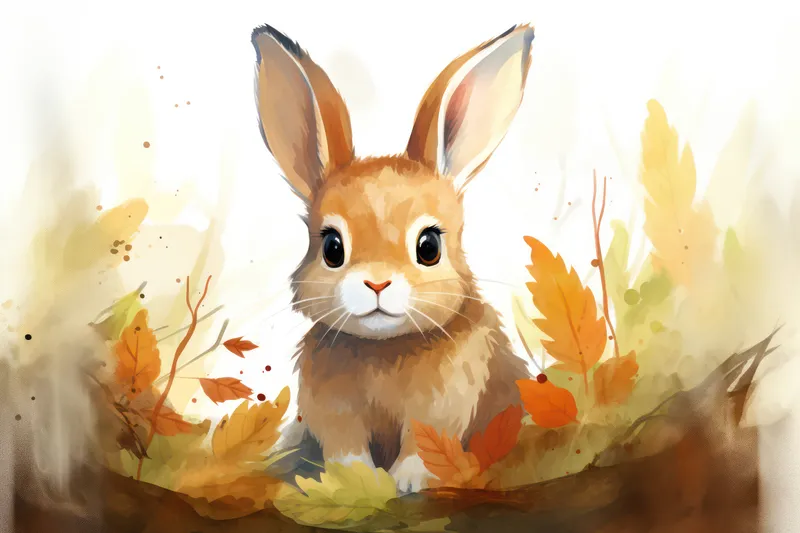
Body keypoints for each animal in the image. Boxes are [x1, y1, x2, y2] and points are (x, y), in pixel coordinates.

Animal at [252, 22, 535, 493]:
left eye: (429, 247)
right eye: (332, 248)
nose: (377, 283)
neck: (384, 350)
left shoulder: (445, 402)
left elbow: (424, 443)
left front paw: (407, 481)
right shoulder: (334, 410)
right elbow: (346, 448)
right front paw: (355, 482)